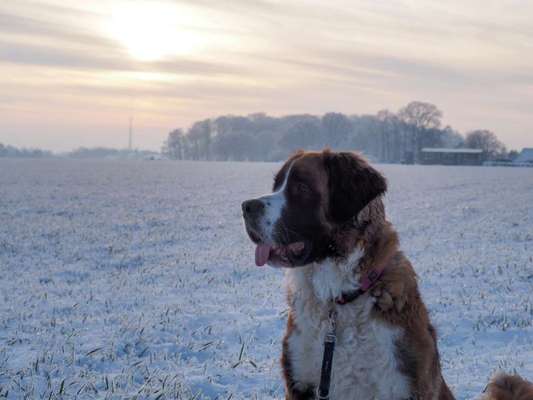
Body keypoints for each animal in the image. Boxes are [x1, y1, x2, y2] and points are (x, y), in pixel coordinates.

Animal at [242, 149, 532, 400]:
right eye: (276, 184)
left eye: (301, 187)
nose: (246, 206)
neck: (340, 299)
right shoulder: (300, 382)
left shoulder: (407, 384)